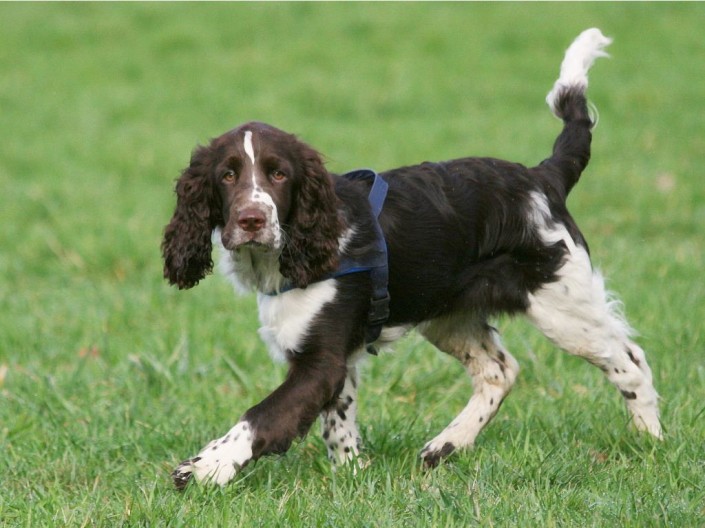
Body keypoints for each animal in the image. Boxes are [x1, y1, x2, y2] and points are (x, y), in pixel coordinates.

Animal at [161, 29, 660, 490]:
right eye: (227, 175)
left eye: (279, 174)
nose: (251, 220)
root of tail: (543, 177)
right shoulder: (335, 357)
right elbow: (338, 421)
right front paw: (352, 473)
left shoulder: (320, 360)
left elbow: (260, 416)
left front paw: (204, 467)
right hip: (449, 316)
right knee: (500, 370)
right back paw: (446, 445)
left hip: (562, 303)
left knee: (629, 359)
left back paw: (650, 441)